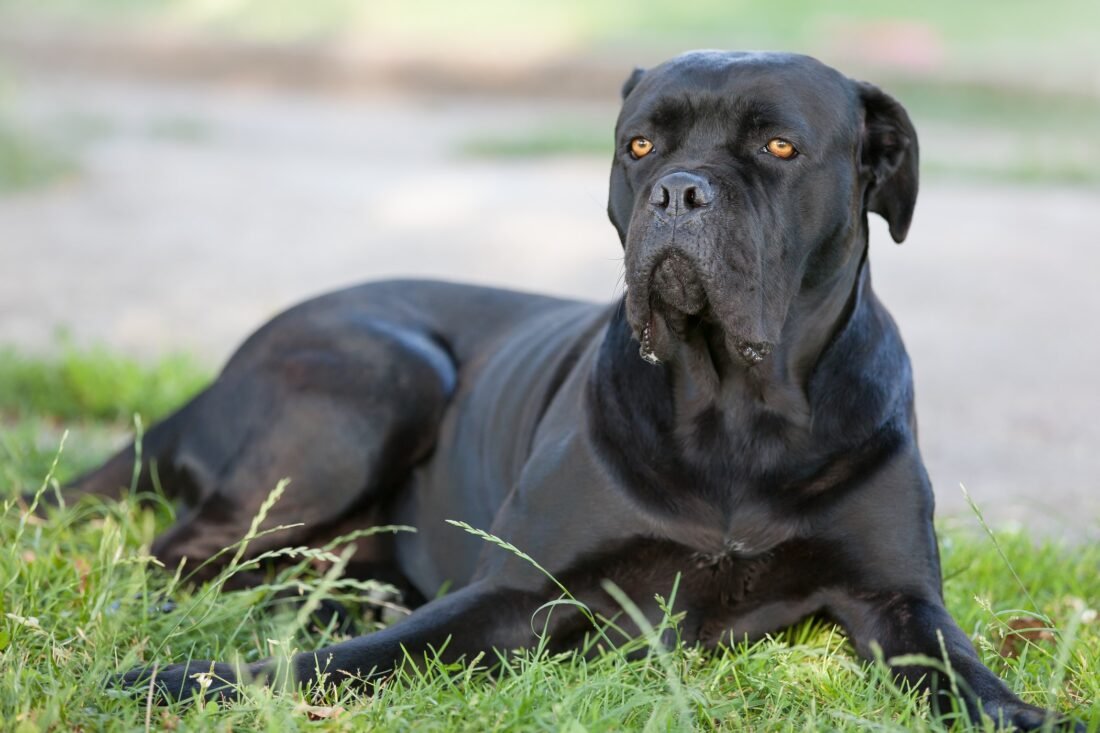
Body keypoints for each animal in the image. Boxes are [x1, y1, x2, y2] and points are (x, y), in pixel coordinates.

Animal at [60, 50, 1073, 726]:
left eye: (781, 146)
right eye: (641, 144)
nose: (680, 191)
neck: (736, 415)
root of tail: (222, 368)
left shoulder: (897, 600)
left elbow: (966, 675)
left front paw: (1028, 714)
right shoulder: (519, 591)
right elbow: (351, 658)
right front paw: (185, 681)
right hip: (383, 375)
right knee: (177, 556)